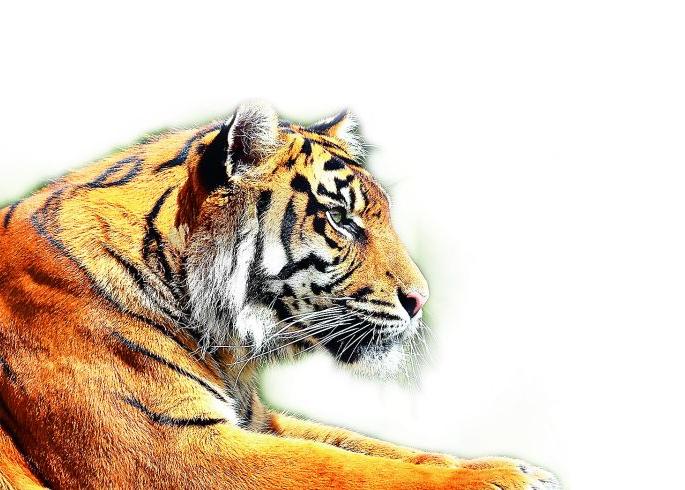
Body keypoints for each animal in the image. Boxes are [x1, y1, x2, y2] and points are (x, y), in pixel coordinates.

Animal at [0, 103, 560, 489]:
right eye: (340, 219)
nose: (421, 299)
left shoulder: (256, 419)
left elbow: (365, 446)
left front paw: (509, 465)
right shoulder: (173, 449)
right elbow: (344, 469)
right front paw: (503, 478)